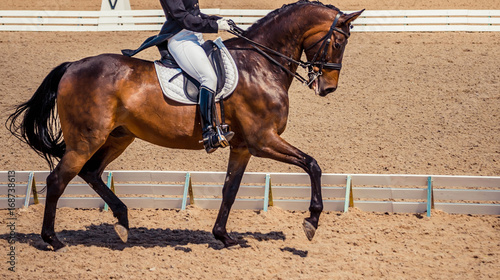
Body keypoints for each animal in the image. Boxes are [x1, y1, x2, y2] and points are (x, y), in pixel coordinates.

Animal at [4, 1, 364, 250]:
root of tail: (72, 67)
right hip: (86, 140)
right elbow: (313, 164)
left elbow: (230, 190)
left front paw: (223, 236)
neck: (261, 63)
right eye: (338, 42)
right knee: (57, 180)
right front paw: (312, 220)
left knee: (90, 172)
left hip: (118, 137)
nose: (328, 88)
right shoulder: (263, 140)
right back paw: (53, 239)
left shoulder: (243, 146)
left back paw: (123, 222)